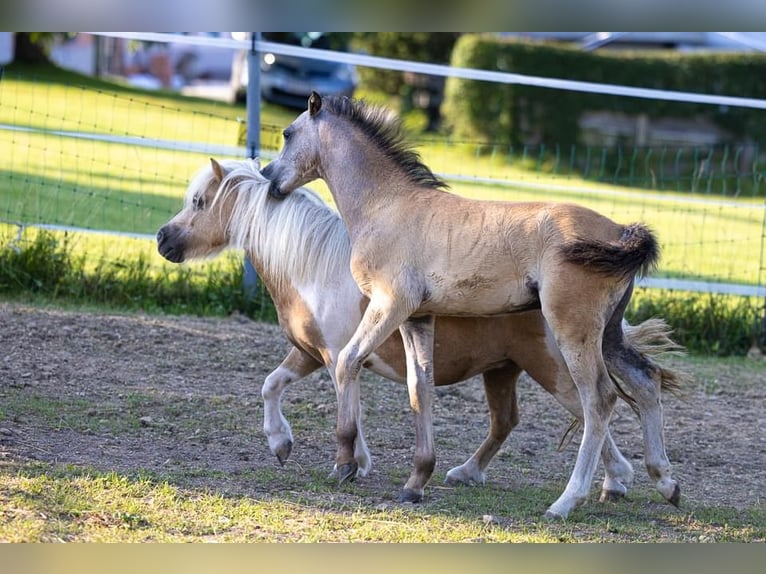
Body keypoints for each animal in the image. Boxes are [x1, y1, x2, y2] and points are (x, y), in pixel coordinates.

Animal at [159, 159, 688, 512]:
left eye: (198, 201)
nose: (163, 239)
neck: (316, 264)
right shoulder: (308, 353)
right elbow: (271, 385)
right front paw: (282, 444)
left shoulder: (335, 356)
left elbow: (347, 406)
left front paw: (351, 461)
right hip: (511, 370)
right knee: (532, 416)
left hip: (554, 365)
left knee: (593, 406)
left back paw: (597, 487)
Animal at [262, 94, 684, 520]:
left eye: (288, 133)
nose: (268, 176)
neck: (387, 206)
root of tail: (621, 232)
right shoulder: (418, 316)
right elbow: (420, 387)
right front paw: (415, 482)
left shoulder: (390, 303)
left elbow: (348, 362)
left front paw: (345, 463)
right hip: (607, 332)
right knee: (646, 380)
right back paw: (666, 482)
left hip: (573, 329)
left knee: (599, 400)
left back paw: (567, 500)